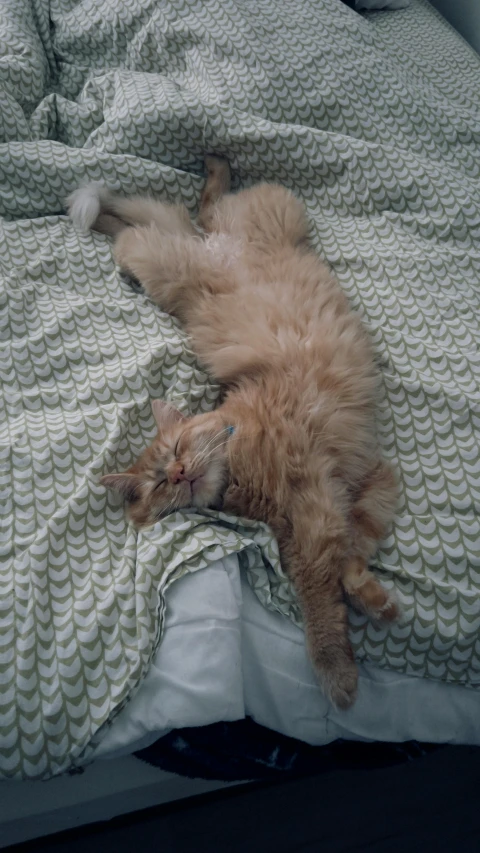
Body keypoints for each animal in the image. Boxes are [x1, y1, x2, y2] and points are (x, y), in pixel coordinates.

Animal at [67, 156, 398, 708]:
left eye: (177, 450)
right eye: (159, 483)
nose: (181, 474)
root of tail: (213, 249)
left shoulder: (320, 509)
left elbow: (322, 598)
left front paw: (337, 672)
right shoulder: (341, 503)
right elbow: (346, 567)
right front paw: (372, 607)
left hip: (207, 241)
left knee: (173, 214)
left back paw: (213, 164)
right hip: (183, 248)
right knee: (159, 214)